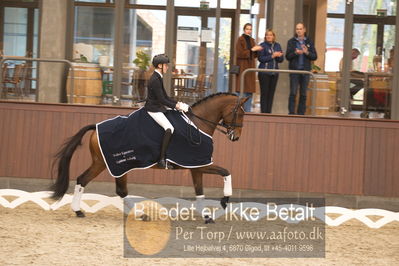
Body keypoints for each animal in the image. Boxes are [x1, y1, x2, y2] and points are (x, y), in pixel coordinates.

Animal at [51, 92, 248, 221]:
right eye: (240, 113)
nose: (236, 137)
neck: (197, 124)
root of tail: (96, 126)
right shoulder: (201, 164)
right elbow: (226, 172)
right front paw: (225, 200)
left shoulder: (196, 166)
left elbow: (200, 191)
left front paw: (207, 216)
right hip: (112, 164)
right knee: (113, 188)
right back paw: (136, 214)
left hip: (108, 164)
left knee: (87, 181)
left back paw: (80, 211)